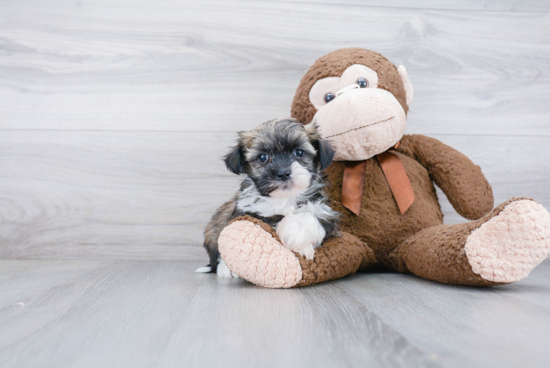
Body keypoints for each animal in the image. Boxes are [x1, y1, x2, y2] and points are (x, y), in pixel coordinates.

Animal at [194, 116, 340, 278]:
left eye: (299, 153)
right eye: (263, 157)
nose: (282, 173)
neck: (284, 198)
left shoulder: (325, 209)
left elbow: (310, 215)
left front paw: (296, 237)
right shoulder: (247, 211)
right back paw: (225, 269)